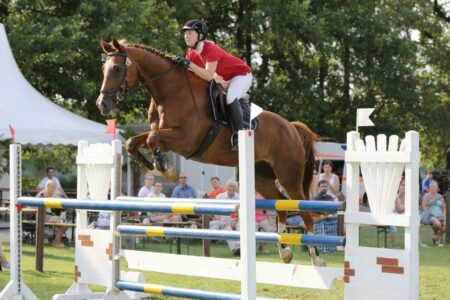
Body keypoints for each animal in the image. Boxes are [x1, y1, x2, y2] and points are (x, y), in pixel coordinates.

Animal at [98, 39, 324, 264]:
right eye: (104, 68)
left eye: (117, 68)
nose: (103, 105)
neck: (169, 91)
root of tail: (291, 127)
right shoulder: (164, 136)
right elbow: (134, 142)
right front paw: (152, 166)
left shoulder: (185, 139)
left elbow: (152, 139)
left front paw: (165, 168)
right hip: (262, 178)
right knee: (280, 203)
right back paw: (284, 250)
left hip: (289, 176)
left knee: (303, 209)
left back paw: (315, 256)